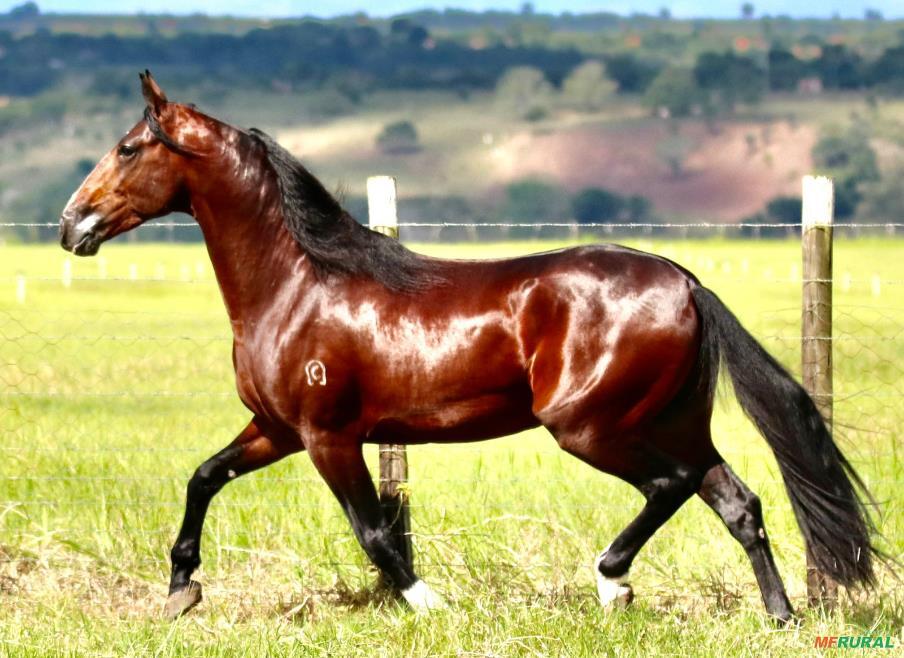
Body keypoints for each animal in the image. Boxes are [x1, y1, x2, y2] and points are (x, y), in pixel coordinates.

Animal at [59, 72, 877, 622]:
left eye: (127, 149)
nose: (72, 225)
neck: (296, 285)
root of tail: (685, 281)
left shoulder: (329, 436)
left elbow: (375, 533)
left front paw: (431, 605)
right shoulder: (277, 429)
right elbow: (204, 477)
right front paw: (180, 590)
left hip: (591, 426)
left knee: (669, 485)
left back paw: (612, 581)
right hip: (671, 420)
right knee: (738, 502)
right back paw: (780, 616)